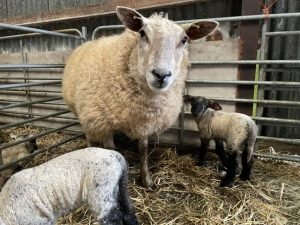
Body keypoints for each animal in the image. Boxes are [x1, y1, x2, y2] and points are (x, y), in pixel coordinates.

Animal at [0, 148, 138, 225]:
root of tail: (116, 156)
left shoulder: (37, 220)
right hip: (117, 186)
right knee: (128, 210)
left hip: (101, 190)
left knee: (111, 217)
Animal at [62, 6, 218, 187]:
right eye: (142, 33)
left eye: (184, 39)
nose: (161, 75)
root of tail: (85, 43)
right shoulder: (103, 122)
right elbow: (112, 151)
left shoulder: (144, 120)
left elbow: (143, 149)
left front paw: (146, 179)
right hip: (86, 112)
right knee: (89, 135)